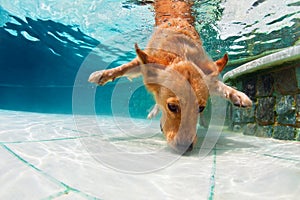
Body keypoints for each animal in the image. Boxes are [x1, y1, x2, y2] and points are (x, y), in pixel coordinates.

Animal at [88, 0, 252, 153]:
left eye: (200, 108)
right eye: (172, 107)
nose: (187, 148)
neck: (180, 54)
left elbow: (220, 86)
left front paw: (238, 95)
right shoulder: (144, 60)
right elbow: (124, 68)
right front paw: (102, 75)